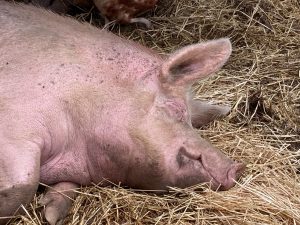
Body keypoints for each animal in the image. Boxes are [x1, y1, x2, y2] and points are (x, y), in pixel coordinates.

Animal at [0, 0, 244, 224]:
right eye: (176, 109)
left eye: (194, 122)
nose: (237, 167)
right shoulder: (17, 124)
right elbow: (25, 184)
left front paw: (50, 215)